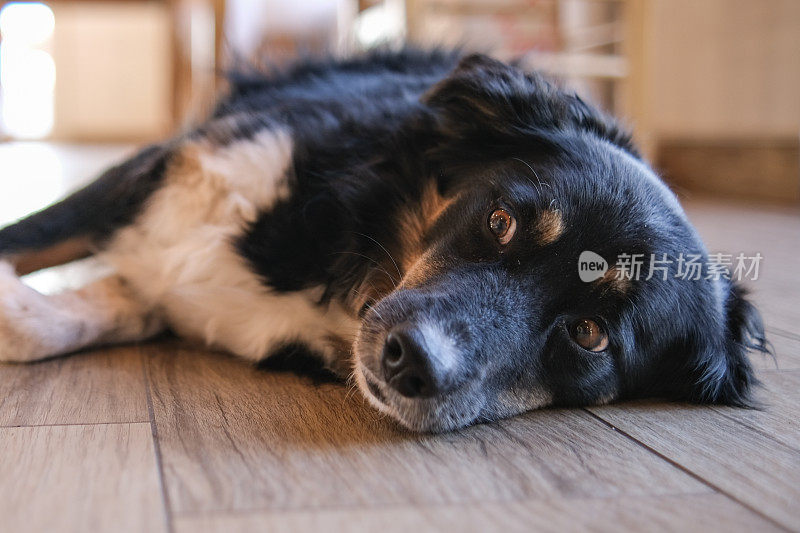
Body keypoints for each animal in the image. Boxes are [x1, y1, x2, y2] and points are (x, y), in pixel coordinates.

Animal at [0, 48, 768, 432]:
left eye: (589, 334)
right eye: (501, 221)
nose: (410, 362)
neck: (343, 262)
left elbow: (55, 320)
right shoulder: (153, 176)